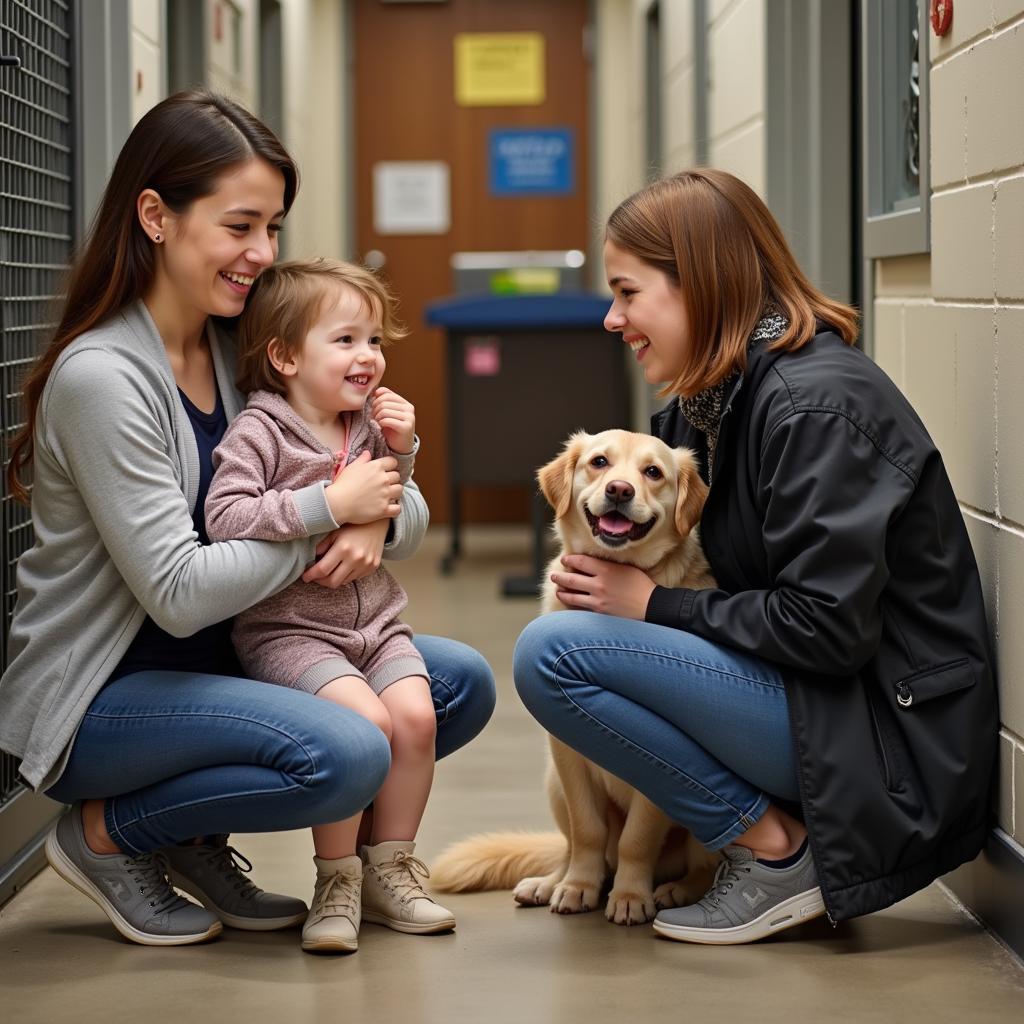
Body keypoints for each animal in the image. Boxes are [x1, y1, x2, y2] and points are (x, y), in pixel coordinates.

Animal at [432, 428, 720, 925]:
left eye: (653, 472)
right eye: (599, 462)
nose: (620, 491)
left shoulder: (656, 769)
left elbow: (636, 839)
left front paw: (630, 895)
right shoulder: (566, 754)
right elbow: (589, 832)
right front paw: (579, 887)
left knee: (701, 867)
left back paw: (677, 891)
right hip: (553, 784)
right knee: (572, 847)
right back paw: (552, 882)